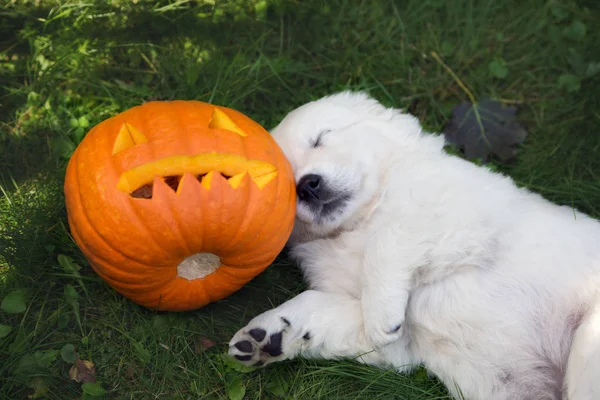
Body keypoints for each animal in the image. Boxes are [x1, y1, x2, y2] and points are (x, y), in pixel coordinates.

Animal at [229, 91, 600, 400]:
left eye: (320, 138)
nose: (307, 185)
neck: (359, 221)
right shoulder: (400, 344)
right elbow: (323, 307)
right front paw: (268, 334)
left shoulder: (455, 209)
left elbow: (389, 238)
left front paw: (380, 313)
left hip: (589, 339)